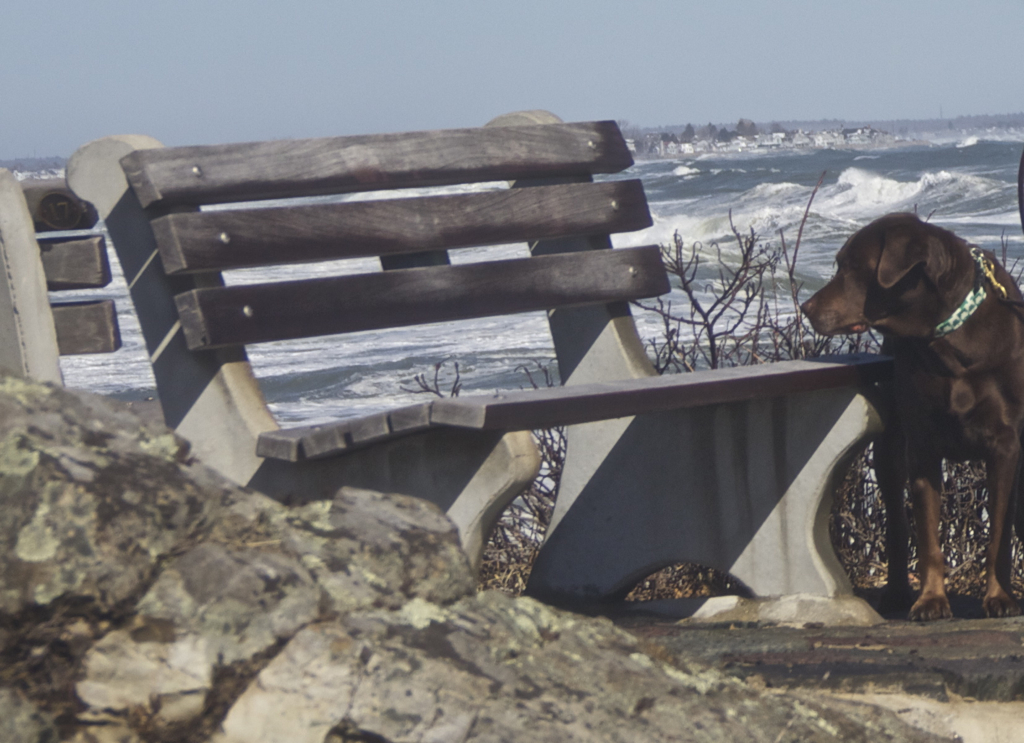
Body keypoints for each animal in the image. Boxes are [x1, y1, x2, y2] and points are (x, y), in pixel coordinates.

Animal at [798, 212, 1024, 618]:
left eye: (851, 266)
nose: (805, 307)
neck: (948, 340)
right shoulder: (922, 443)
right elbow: (927, 533)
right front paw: (931, 600)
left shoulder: (1005, 443)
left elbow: (998, 530)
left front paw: (1000, 597)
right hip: (889, 447)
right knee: (897, 522)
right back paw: (898, 592)